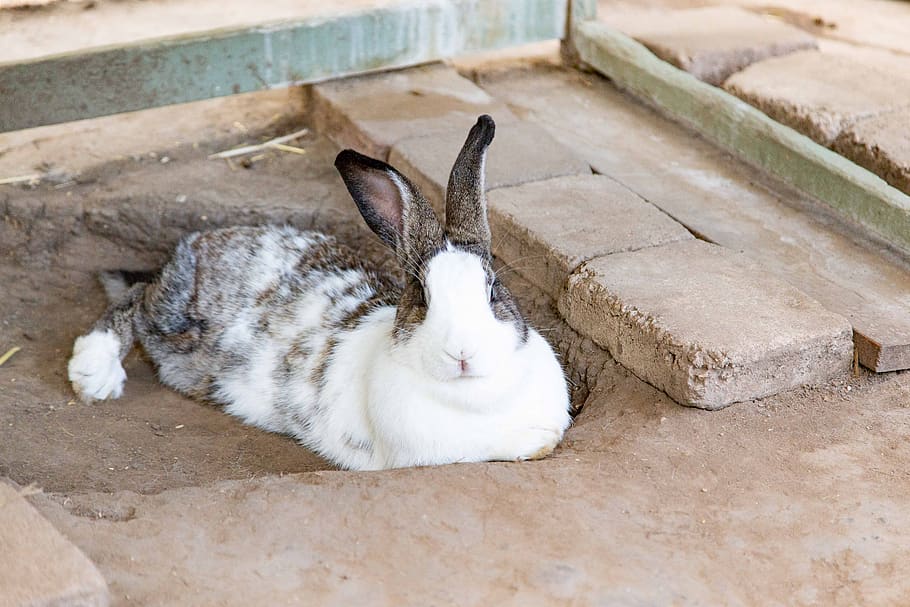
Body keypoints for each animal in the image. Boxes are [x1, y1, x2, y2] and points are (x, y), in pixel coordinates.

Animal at [67, 116, 572, 472]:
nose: (462, 353)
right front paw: (537, 444)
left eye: (493, 290)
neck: (474, 394)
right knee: (134, 299)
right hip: (172, 320)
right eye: (421, 297)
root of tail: (190, 247)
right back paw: (94, 374)